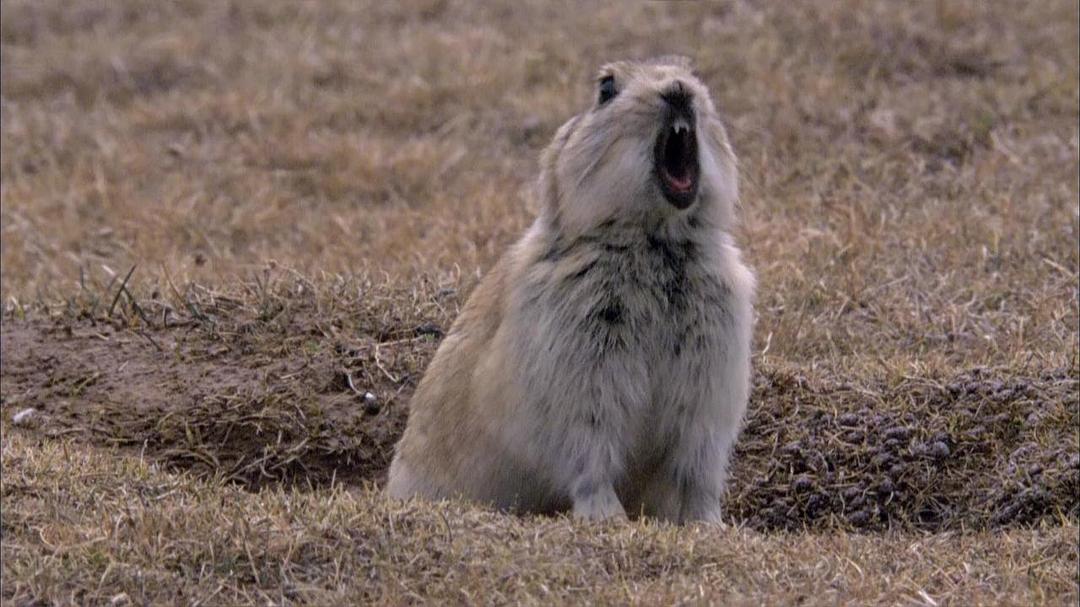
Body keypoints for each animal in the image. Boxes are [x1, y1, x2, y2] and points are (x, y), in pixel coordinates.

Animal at [386, 56, 755, 524]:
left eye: (692, 73)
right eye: (606, 89)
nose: (678, 90)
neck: (656, 241)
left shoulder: (709, 388)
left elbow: (697, 472)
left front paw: (709, 525)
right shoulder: (580, 379)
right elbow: (590, 457)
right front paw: (608, 518)